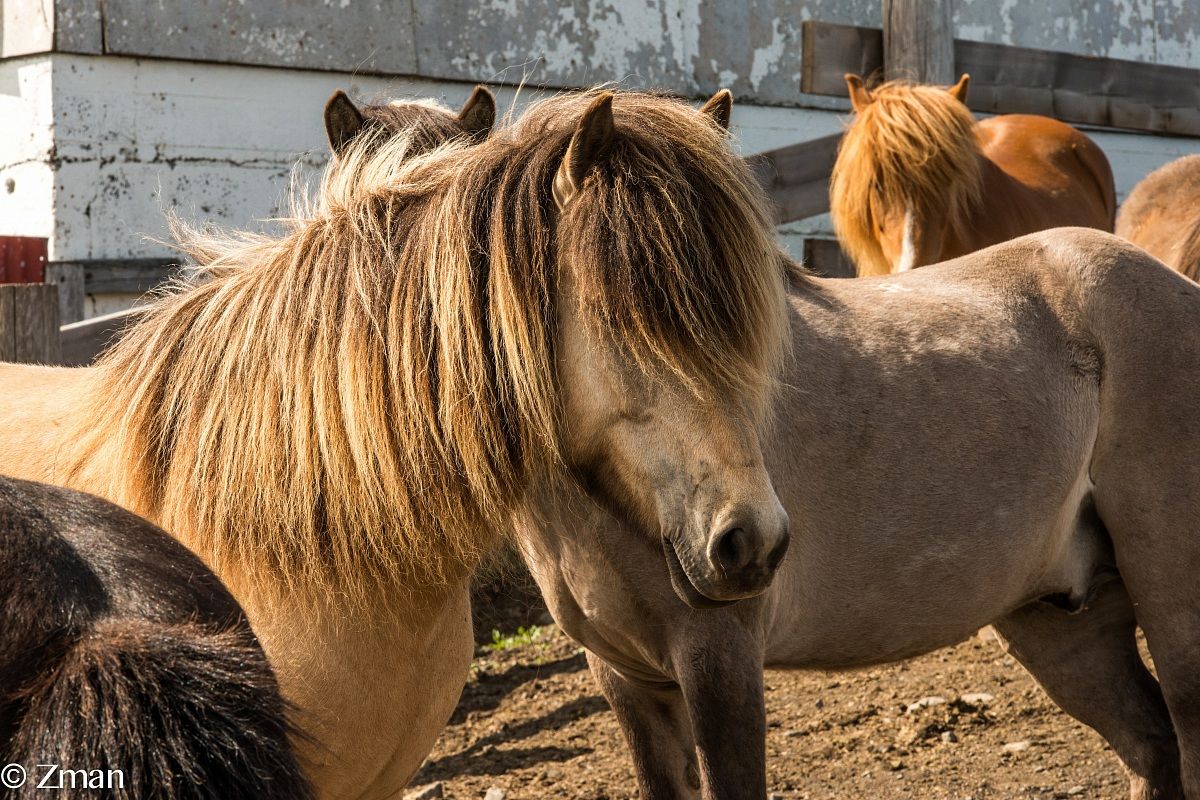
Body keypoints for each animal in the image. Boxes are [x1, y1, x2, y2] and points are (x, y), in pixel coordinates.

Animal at [518, 227, 1200, 800]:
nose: (745, 542)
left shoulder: (718, 661)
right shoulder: (627, 678)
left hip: (1173, 612)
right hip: (1061, 622)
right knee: (1150, 746)